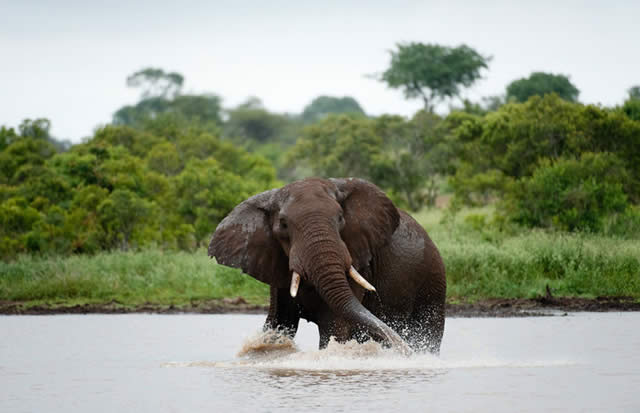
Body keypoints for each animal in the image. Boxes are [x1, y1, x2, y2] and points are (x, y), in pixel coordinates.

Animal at [208, 177, 446, 355]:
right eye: (283, 225)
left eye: (340, 218)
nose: (406, 351)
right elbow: (278, 323)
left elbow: (335, 326)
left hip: (433, 282)